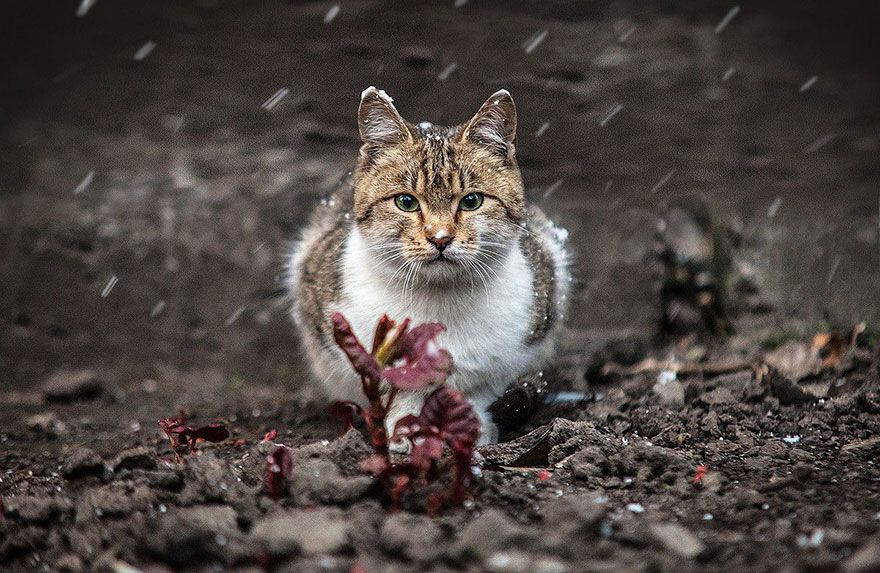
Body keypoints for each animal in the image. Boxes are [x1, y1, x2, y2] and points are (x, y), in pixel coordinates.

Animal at [290, 87, 572, 444]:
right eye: (406, 202)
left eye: (471, 201)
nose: (440, 238)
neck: (438, 299)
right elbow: (399, 395)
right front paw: (404, 436)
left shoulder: (513, 353)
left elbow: (476, 393)